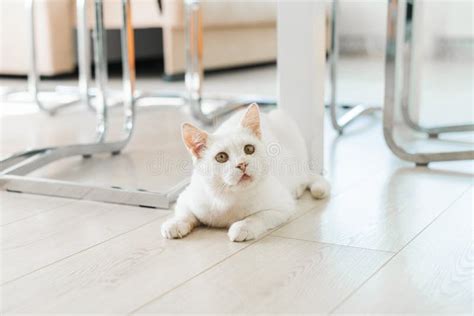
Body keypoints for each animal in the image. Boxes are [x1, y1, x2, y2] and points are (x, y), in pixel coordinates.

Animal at [161, 103, 328, 242]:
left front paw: (243, 227)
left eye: (249, 149)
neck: (229, 198)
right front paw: (175, 224)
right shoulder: (187, 197)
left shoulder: (282, 206)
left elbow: (257, 216)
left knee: (305, 176)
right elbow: (184, 213)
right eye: (221, 157)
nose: (242, 164)